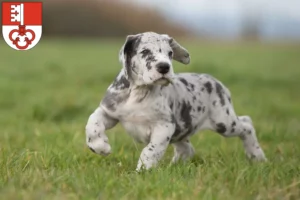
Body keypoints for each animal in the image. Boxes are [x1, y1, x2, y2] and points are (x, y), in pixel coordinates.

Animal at [85, 32, 268, 171]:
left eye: (170, 53)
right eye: (145, 51)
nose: (164, 67)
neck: (139, 93)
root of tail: (216, 82)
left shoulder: (164, 126)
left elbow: (151, 150)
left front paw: (143, 170)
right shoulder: (109, 111)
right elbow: (92, 124)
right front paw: (100, 146)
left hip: (224, 122)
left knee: (247, 124)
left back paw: (257, 156)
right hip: (184, 131)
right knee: (187, 149)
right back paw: (175, 166)